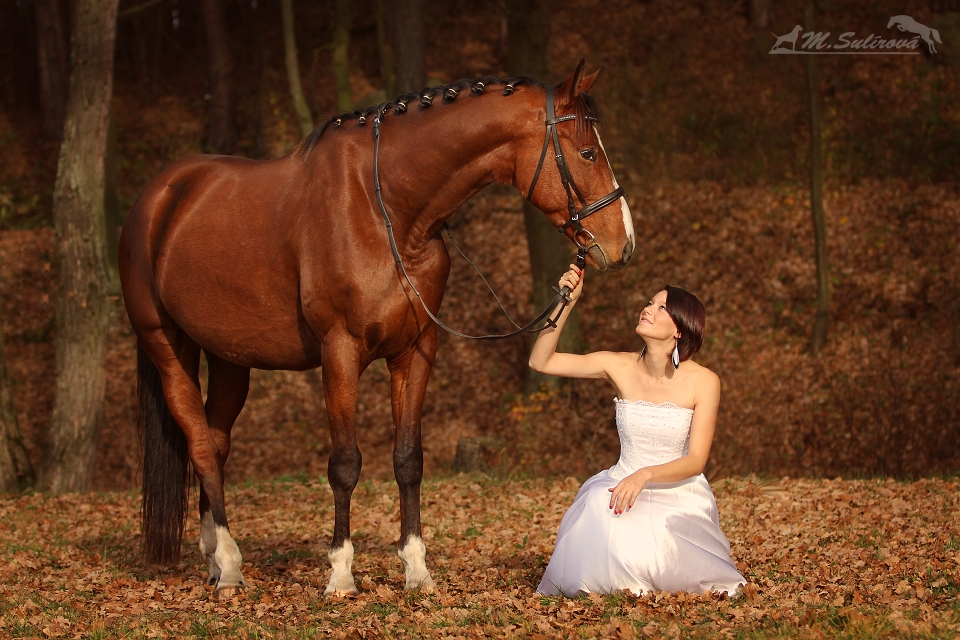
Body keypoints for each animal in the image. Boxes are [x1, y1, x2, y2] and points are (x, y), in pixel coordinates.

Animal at [118, 60, 635, 599]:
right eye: (587, 152)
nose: (624, 243)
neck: (386, 208)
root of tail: (159, 197)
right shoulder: (340, 352)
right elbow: (345, 464)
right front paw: (341, 574)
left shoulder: (415, 349)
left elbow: (408, 459)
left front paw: (416, 570)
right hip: (167, 349)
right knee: (199, 444)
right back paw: (228, 561)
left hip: (228, 359)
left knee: (215, 446)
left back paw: (219, 562)